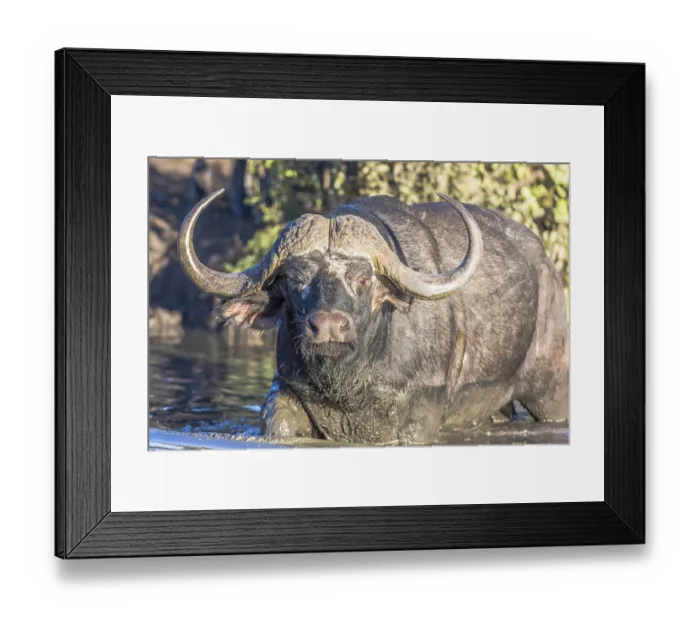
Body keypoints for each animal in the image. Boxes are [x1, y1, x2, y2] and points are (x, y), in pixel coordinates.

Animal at [178, 189, 569, 445]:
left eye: (364, 279)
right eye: (294, 278)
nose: (328, 326)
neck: (349, 385)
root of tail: (546, 267)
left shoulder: (421, 416)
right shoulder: (286, 390)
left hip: (550, 392)